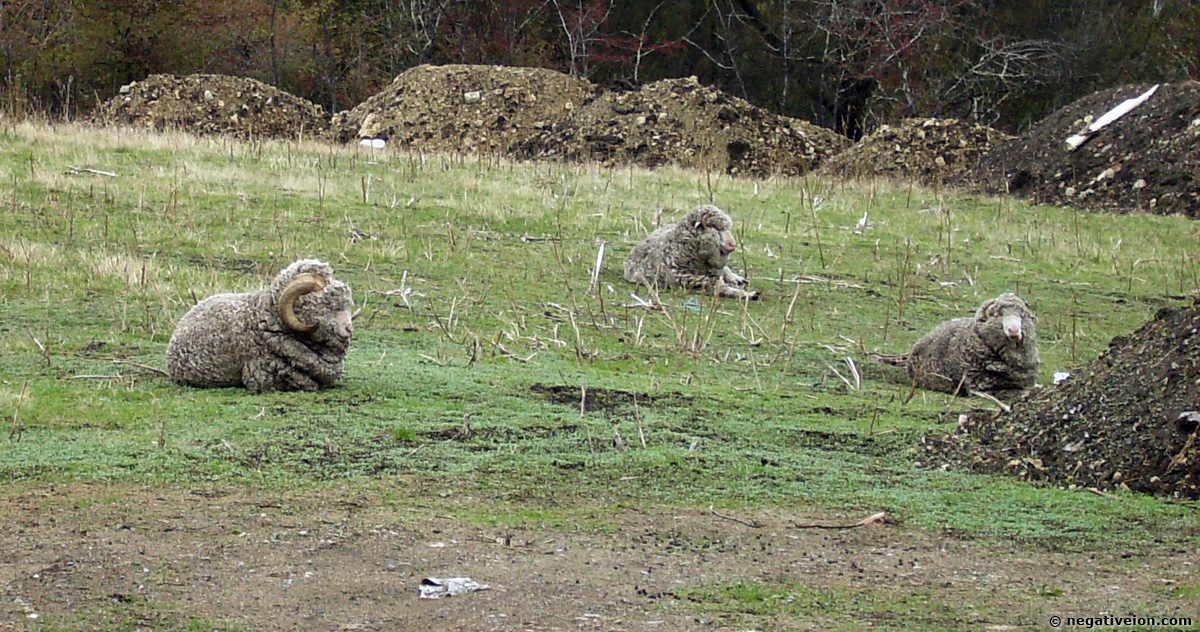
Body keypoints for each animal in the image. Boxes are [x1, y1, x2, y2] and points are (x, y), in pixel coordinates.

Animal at [623, 204, 759, 300]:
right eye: (715, 228)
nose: (732, 245)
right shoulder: (699, 282)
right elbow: (724, 289)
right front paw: (749, 294)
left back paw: (738, 278)